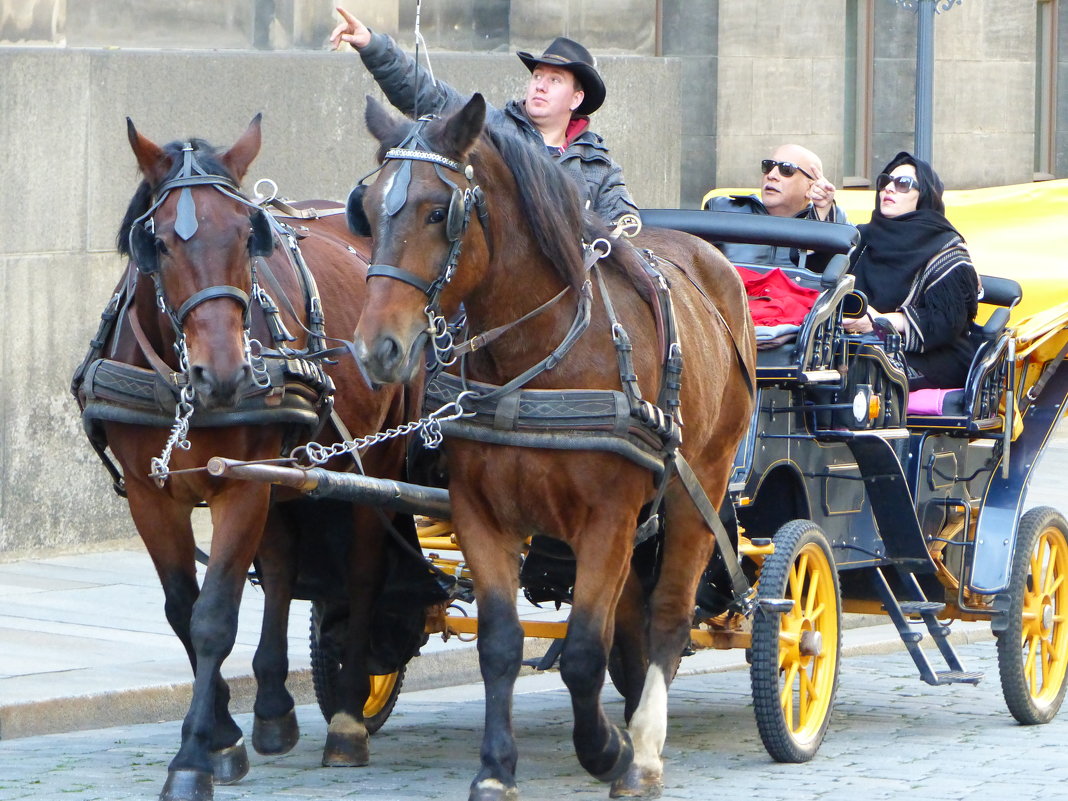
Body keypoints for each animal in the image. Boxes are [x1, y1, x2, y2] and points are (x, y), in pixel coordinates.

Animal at [77, 117, 410, 801]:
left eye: (244, 236)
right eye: (158, 244)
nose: (226, 373)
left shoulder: (239, 490)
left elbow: (214, 616)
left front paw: (191, 761)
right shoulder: (153, 496)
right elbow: (183, 610)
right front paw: (223, 735)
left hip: (378, 458)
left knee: (363, 571)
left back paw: (347, 719)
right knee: (282, 569)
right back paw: (275, 707)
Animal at [354, 95, 756, 801]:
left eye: (437, 211)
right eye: (371, 209)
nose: (377, 349)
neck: (540, 356)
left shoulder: (607, 520)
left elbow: (584, 653)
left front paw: (608, 751)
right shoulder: (482, 515)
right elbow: (501, 644)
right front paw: (495, 768)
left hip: (699, 486)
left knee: (669, 614)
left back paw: (644, 750)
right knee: (633, 616)